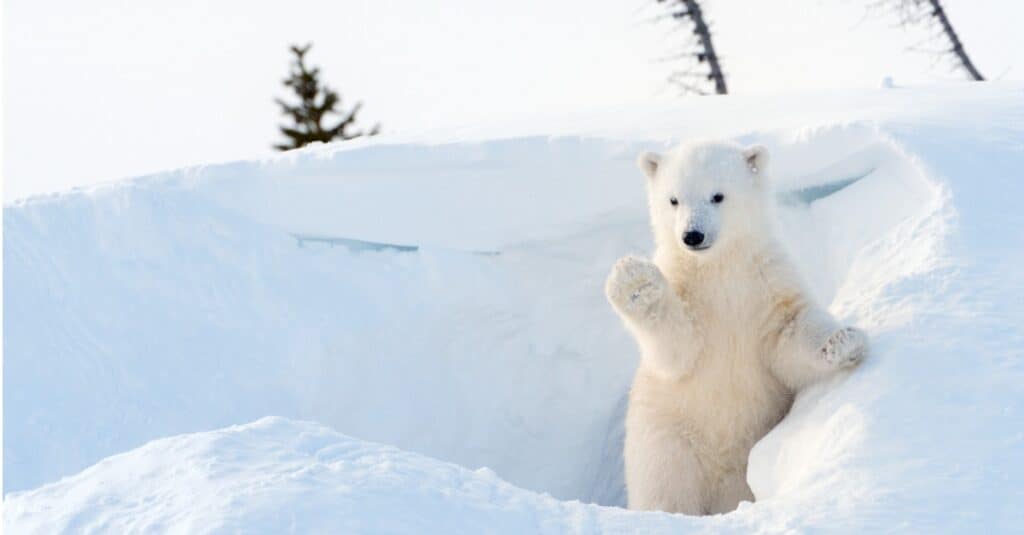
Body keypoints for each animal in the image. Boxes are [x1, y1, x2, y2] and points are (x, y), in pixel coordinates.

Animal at [602, 139, 868, 514]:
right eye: (673, 199)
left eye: (718, 196)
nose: (692, 235)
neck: (720, 268)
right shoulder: (688, 293)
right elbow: (678, 350)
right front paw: (635, 281)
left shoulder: (766, 283)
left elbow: (789, 333)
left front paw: (844, 341)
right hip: (667, 440)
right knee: (666, 489)